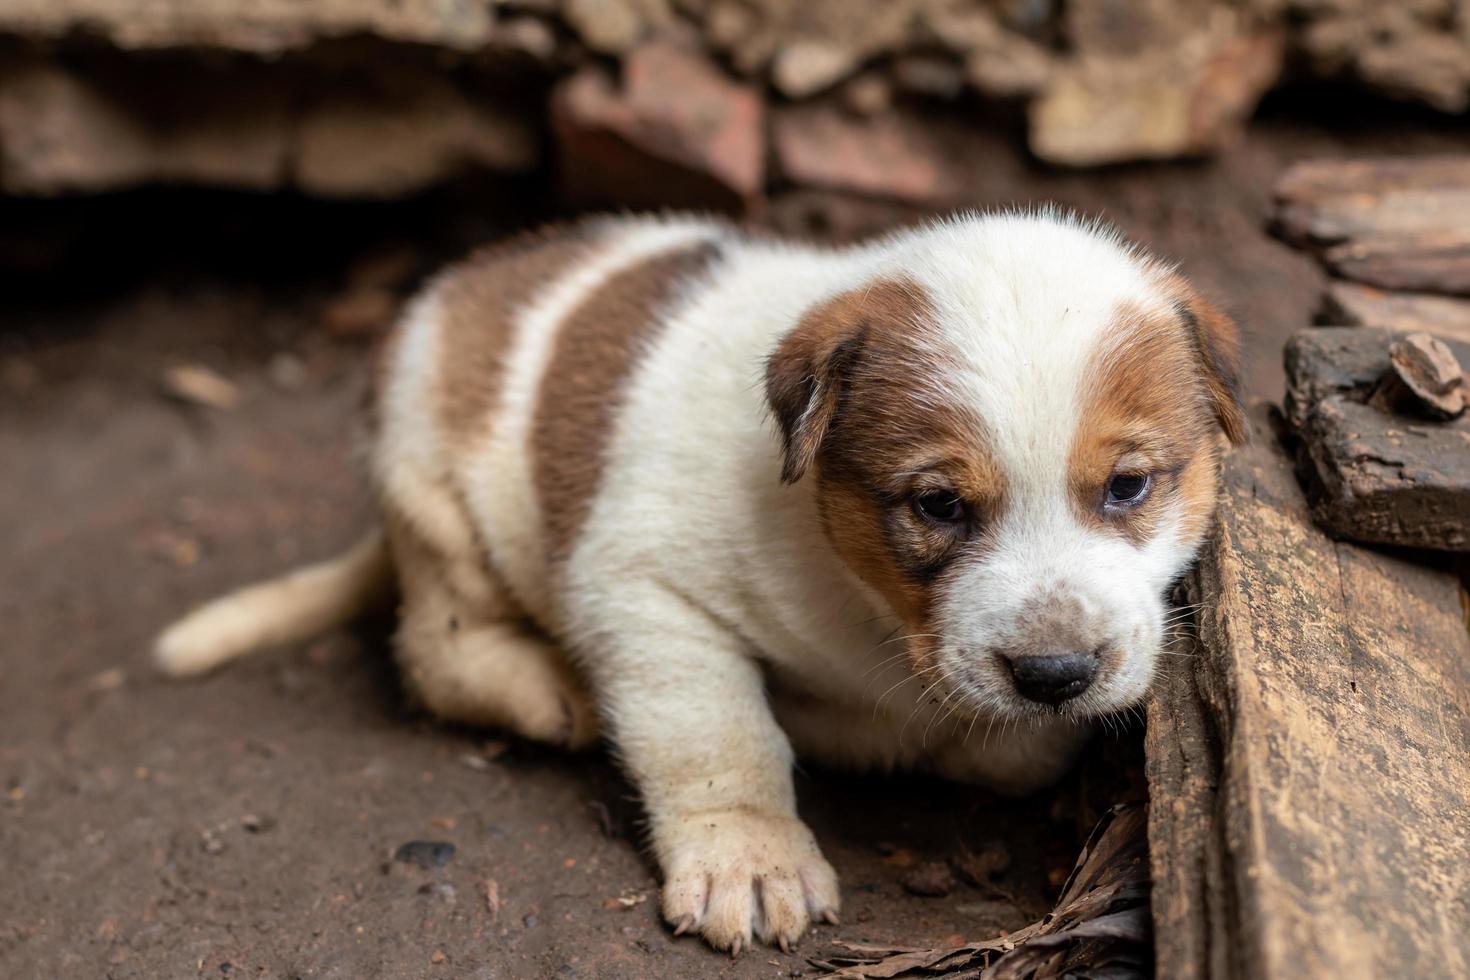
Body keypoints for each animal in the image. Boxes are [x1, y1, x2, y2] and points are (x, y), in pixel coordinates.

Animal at [158, 211, 1240, 952]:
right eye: (937, 505)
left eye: (1129, 485)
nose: (1056, 674)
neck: (865, 599)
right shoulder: (646, 590)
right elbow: (717, 736)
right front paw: (748, 856)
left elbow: (1007, 749)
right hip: (435, 503)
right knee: (433, 647)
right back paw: (547, 686)